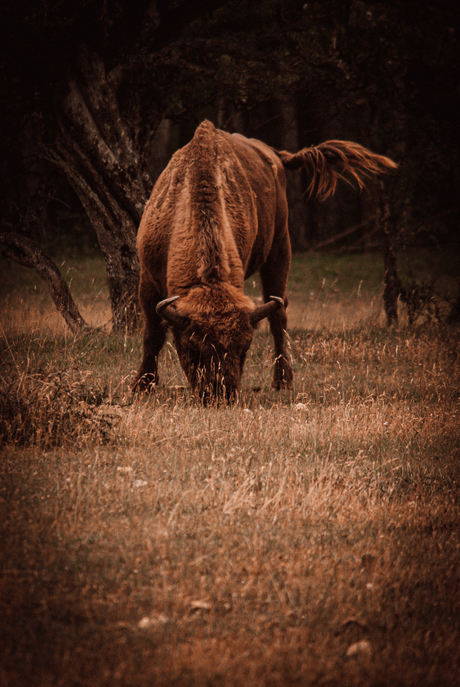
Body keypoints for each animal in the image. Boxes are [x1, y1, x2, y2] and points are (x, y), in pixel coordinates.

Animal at [132, 120, 396, 402]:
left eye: (245, 348)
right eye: (193, 347)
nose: (222, 393)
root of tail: (273, 153)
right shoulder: (147, 279)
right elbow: (152, 334)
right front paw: (142, 384)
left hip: (280, 248)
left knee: (278, 317)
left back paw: (283, 381)